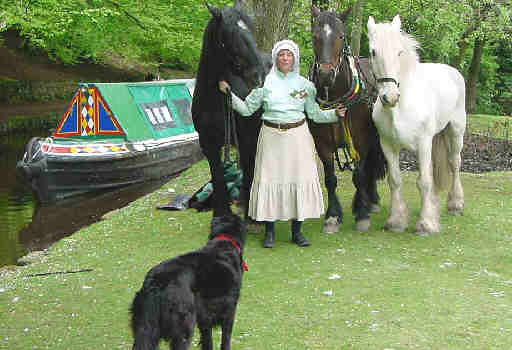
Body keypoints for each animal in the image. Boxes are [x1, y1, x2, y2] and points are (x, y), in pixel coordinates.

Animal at [130, 213, 246, 350]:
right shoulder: (229, 310)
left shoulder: (204, 317)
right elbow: (225, 339)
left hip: (145, 328)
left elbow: (207, 339)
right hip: (184, 327)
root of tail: (156, 284)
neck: (224, 241)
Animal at [190, 2, 266, 220]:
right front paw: (222, 214)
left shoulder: (246, 139)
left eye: (250, 30)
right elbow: (218, 178)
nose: (258, 76)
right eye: (230, 34)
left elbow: (248, 171)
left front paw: (249, 214)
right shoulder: (208, 145)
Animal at [308, 6, 388, 232]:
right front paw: (333, 216)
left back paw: (369, 201)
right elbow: (330, 179)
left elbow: (359, 175)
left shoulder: (360, 140)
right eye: (315, 36)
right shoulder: (322, 143)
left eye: (341, 36)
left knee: (369, 166)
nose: (325, 74)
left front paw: (362, 215)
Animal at [366, 15, 466, 237]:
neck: (400, 108)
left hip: (456, 131)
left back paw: (455, 204)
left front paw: (426, 224)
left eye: (399, 52)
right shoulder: (387, 145)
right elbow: (395, 180)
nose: (390, 97)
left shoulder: (423, 143)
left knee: (454, 163)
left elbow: (424, 182)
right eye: (373, 51)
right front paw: (396, 221)